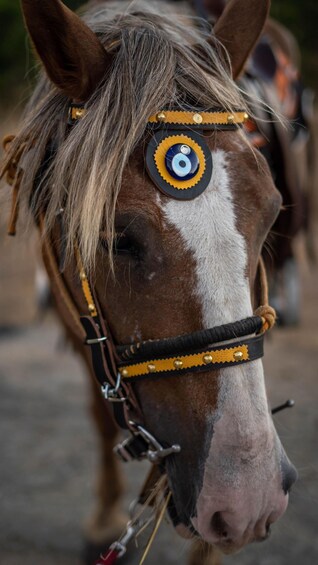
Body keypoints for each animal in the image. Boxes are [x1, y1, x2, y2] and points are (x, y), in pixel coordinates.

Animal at [1, 1, 298, 564]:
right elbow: (102, 414)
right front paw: (103, 519)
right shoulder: (83, 329)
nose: (246, 498)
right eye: (114, 239)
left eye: (270, 214)